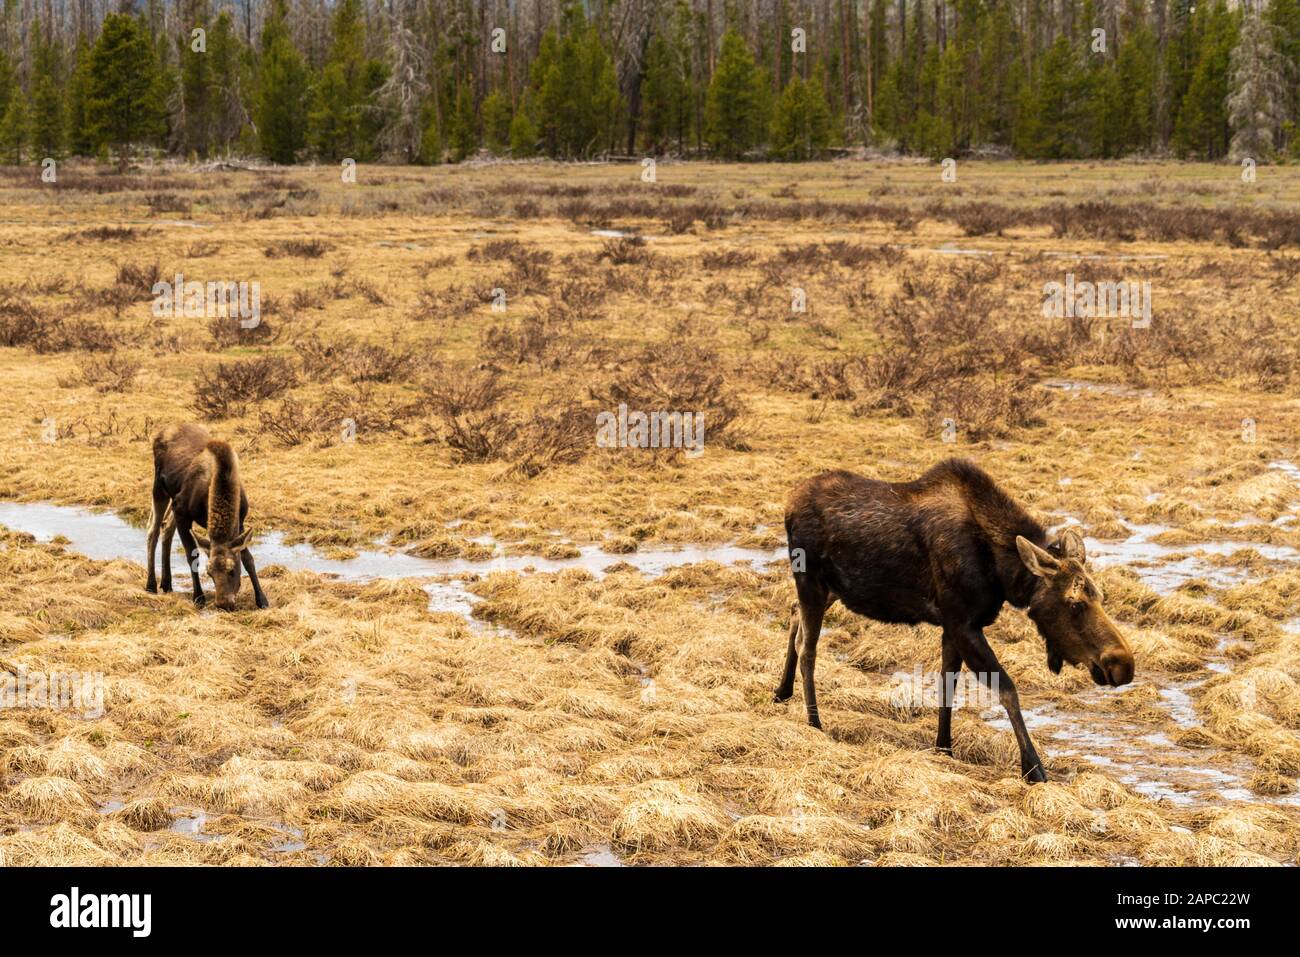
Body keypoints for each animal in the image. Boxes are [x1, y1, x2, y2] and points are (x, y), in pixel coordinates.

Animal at [145, 423, 269, 611]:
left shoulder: (240, 521)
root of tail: (161, 432)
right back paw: (151, 585)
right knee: (153, 530)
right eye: (209, 572)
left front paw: (262, 599)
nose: (223, 604)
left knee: (166, 528)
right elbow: (192, 556)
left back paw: (167, 583)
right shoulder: (182, 510)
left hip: (173, 498)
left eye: (232, 570)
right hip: (159, 488)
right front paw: (198, 596)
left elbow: (248, 559)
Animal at [777, 458, 1134, 783]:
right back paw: (814, 723)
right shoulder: (964, 623)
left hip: (835, 588)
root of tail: (788, 507)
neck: (1002, 574)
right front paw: (1033, 767)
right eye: (1074, 603)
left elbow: (948, 683)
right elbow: (1007, 689)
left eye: (1100, 596)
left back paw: (782, 691)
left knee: (793, 613)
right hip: (811, 579)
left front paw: (944, 747)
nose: (1123, 665)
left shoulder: (952, 626)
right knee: (809, 648)